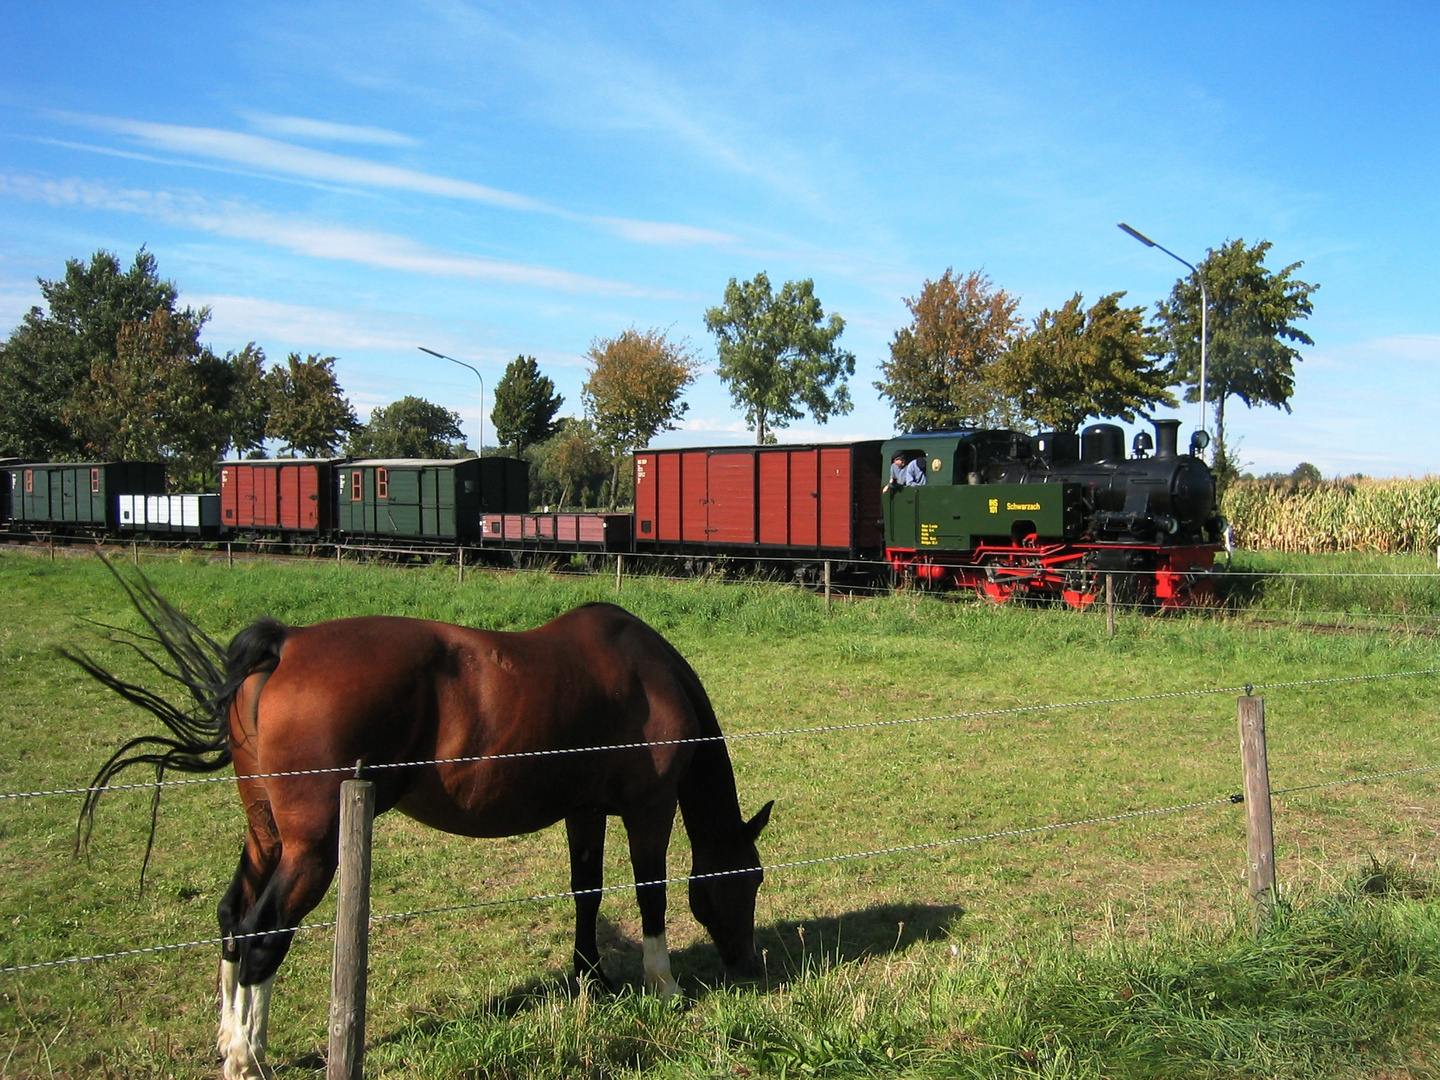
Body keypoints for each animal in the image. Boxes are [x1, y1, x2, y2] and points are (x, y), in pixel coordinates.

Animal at [75, 578, 777, 1080]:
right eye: (749, 880)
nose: (748, 965)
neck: (643, 673)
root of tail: (287, 644)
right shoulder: (648, 808)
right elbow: (651, 894)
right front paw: (664, 986)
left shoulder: (584, 811)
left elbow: (588, 893)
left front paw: (589, 980)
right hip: (312, 852)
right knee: (261, 935)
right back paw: (247, 1059)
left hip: (268, 838)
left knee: (231, 919)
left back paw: (233, 1038)